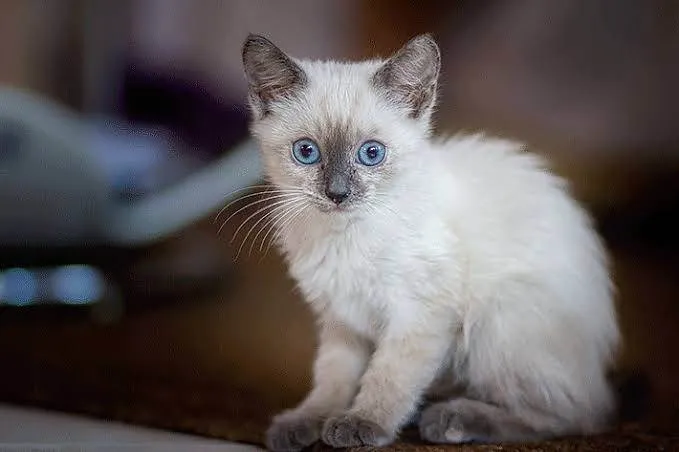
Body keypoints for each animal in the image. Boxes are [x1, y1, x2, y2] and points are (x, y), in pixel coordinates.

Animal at [240, 33, 620, 450]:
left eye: (371, 153)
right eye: (306, 152)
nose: (338, 194)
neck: (346, 237)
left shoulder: (419, 314)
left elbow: (389, 376)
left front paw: (362, 423)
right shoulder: (341, 319)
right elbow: (332, 379)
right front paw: (308, 420)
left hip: (499, 317)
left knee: (572, 416)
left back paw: (452, 419)